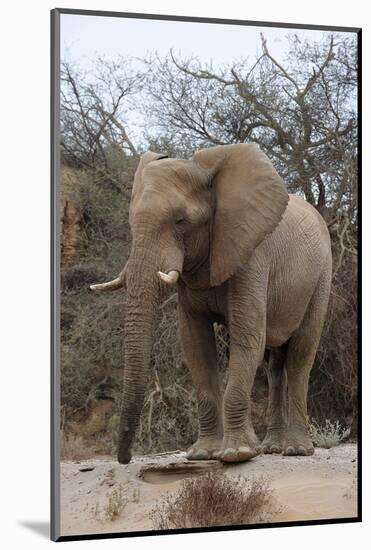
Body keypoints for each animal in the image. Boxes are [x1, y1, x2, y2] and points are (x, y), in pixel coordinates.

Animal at [91, 143, 334, 466]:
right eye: (132, 223)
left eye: (181, 221)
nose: (125, 459)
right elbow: (196, 345)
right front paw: (203, 454)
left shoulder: (252, 256)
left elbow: (247, 337)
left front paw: (236, 454)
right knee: (274, 364)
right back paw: (270, 448)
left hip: (321, 277)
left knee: (300, 354)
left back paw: (295, 450)